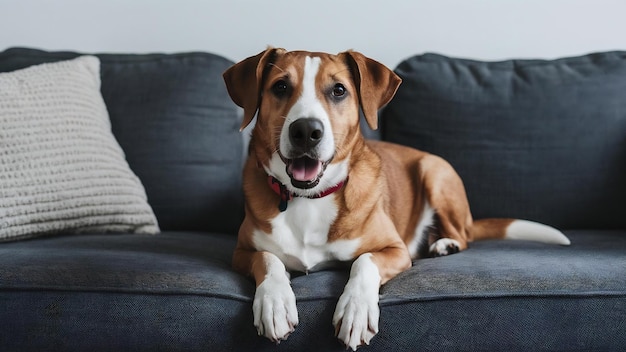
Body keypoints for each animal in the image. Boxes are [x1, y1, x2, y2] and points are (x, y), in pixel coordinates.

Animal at [221, 48, 572, 350]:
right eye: (280, 87)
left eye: (338, 90)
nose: (306, 131)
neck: (308, 198)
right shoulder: (241, 252)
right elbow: (268, 258)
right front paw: (275, 301)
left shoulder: (395, 249)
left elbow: (364, 261)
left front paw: (356, 310)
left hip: (435, 170)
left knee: (463, 234)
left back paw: (444, 243)